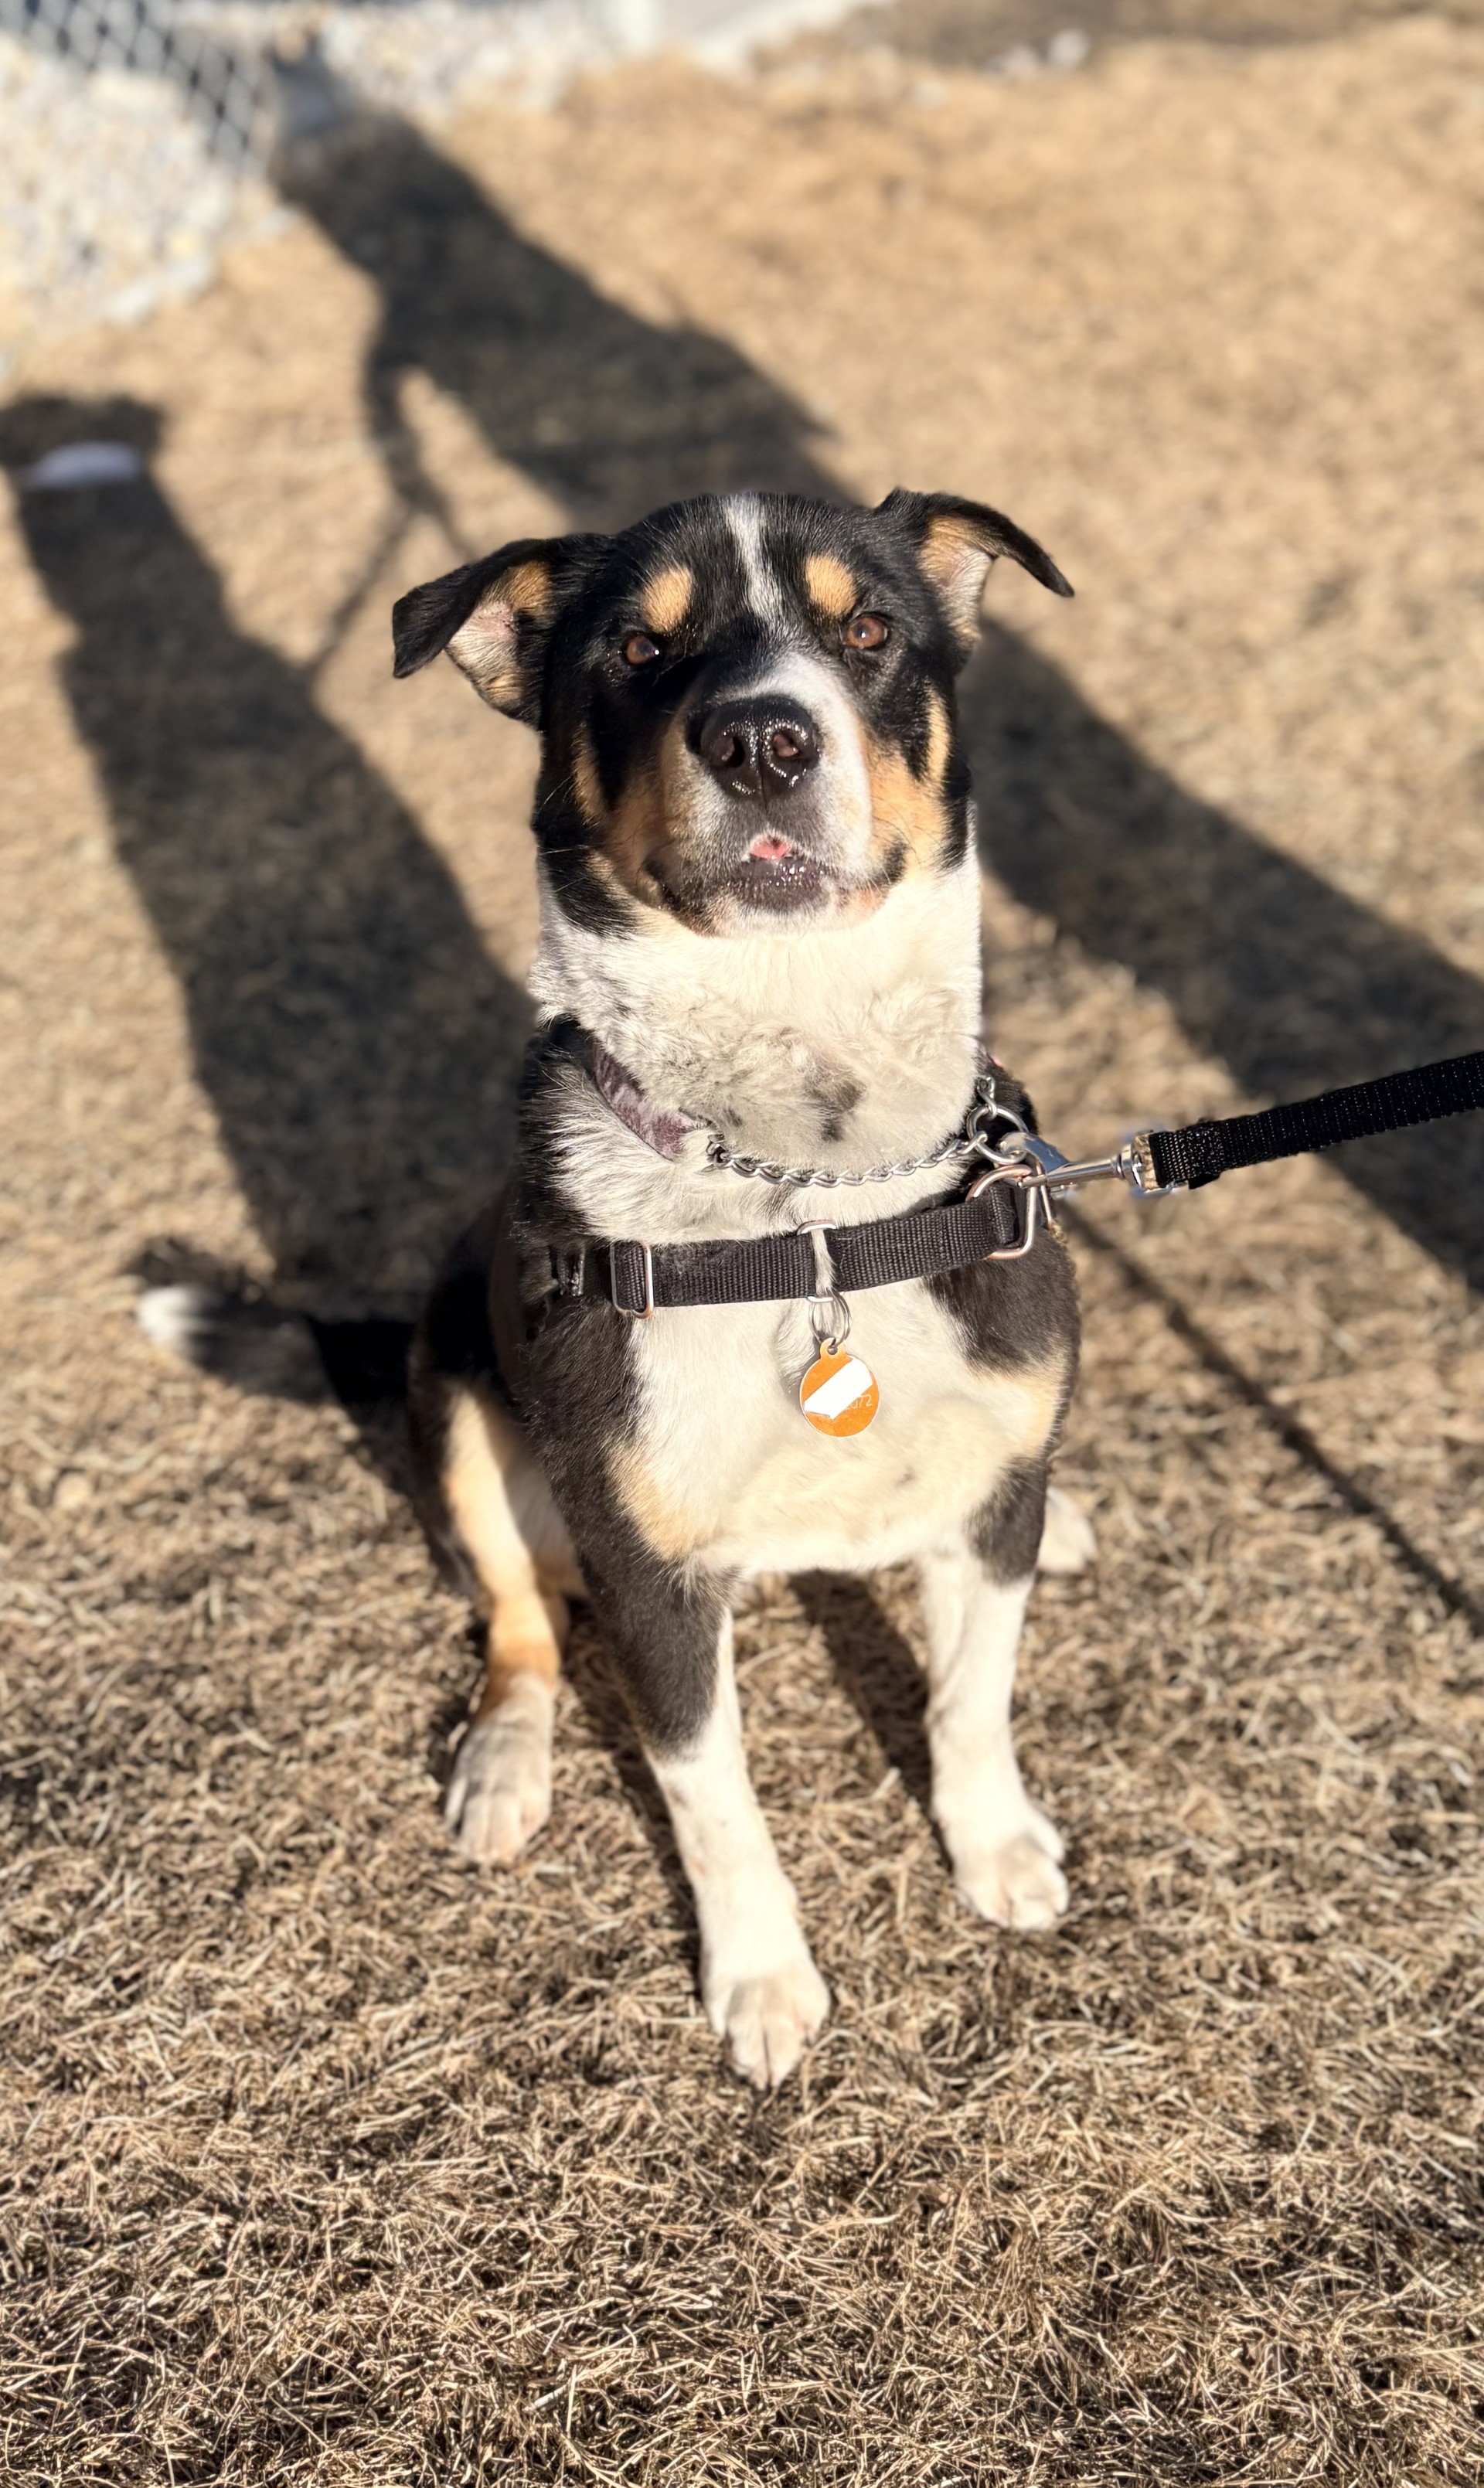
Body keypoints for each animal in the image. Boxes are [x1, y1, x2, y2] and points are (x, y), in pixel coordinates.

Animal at [390, 486, 1095, 2087]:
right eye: (640, 648)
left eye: (868, 627)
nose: (764, 739)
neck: (811, 1199)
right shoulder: (648, 1573)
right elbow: (711, 1799)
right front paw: (765, 1978)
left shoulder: (985, 1492)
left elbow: (972, 1694)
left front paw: (995, 1846)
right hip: (453, 1384)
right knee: (519, 1620)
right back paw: (505, 1765)